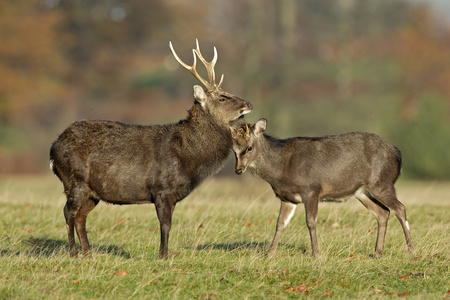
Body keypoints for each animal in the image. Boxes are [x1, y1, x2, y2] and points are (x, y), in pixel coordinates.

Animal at [50, 40, 253, 260]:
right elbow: (165, 225)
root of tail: (54, 149)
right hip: (75, 179)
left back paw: (88, 254)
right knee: (68, 212)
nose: (248, 103)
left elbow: (168, 224)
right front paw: (163, 256)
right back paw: (73, 253)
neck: (188, 155)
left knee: (81, 217)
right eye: (223, 98)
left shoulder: (172, 195)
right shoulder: (162, 188)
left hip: (92, 192)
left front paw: (164, 254)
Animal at [232, 118, 414, 258]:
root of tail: (397, 153)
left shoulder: (311, 190)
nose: (238, 170)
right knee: (383, 212)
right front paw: (269, 254)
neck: (282, 169)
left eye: (249, 147)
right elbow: (280, 223)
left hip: (381, 183)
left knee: (400, 208)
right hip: (362, 192)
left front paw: (316, 254)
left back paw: (411, 250)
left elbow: (311, 222)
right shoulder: (287, 198)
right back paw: (377, 253)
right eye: (234, 150)